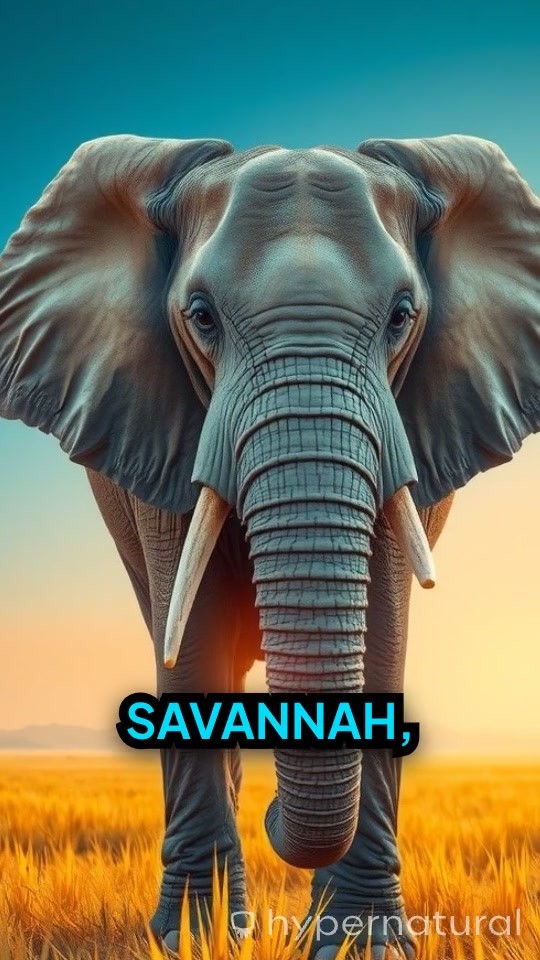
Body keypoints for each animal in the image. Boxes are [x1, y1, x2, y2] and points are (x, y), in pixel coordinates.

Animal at [0, 133, 538, 959]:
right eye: (201, 317)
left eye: (402, 316)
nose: (273, 816)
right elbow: (190, 640)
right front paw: (193, 941)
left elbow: (382, 632)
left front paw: (359, 946)